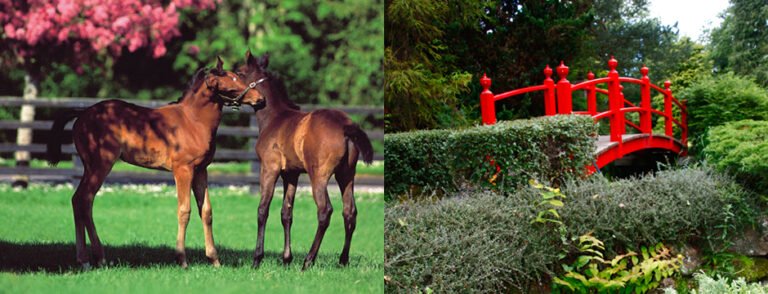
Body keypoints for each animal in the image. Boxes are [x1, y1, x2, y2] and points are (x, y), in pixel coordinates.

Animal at [48, 56, 268, 268]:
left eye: (239, 77)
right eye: (231, 85)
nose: (261, 100)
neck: (193, 121)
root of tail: (83, 114)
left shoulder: (201, 171)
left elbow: (206, 211)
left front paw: (214, 259)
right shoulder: (183, 170)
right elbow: (184, 210)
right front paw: (182, 259)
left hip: (89, 166)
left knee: (78, 200)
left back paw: (84, 259)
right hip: (100, 165)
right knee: (85, 199)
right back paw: (96, 258)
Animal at [238, 51, 374, 272]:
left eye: (240, 73)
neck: (275, 118)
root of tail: (345, 125)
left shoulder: (269, 169)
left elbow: (262, 210)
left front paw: (257, 259)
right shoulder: (291, 174)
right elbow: (286, 213)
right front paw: (286, 259)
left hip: (318, 176)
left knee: (325, 211)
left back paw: (308, 260)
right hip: (346, 175)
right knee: (349, 212)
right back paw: (343, 260)